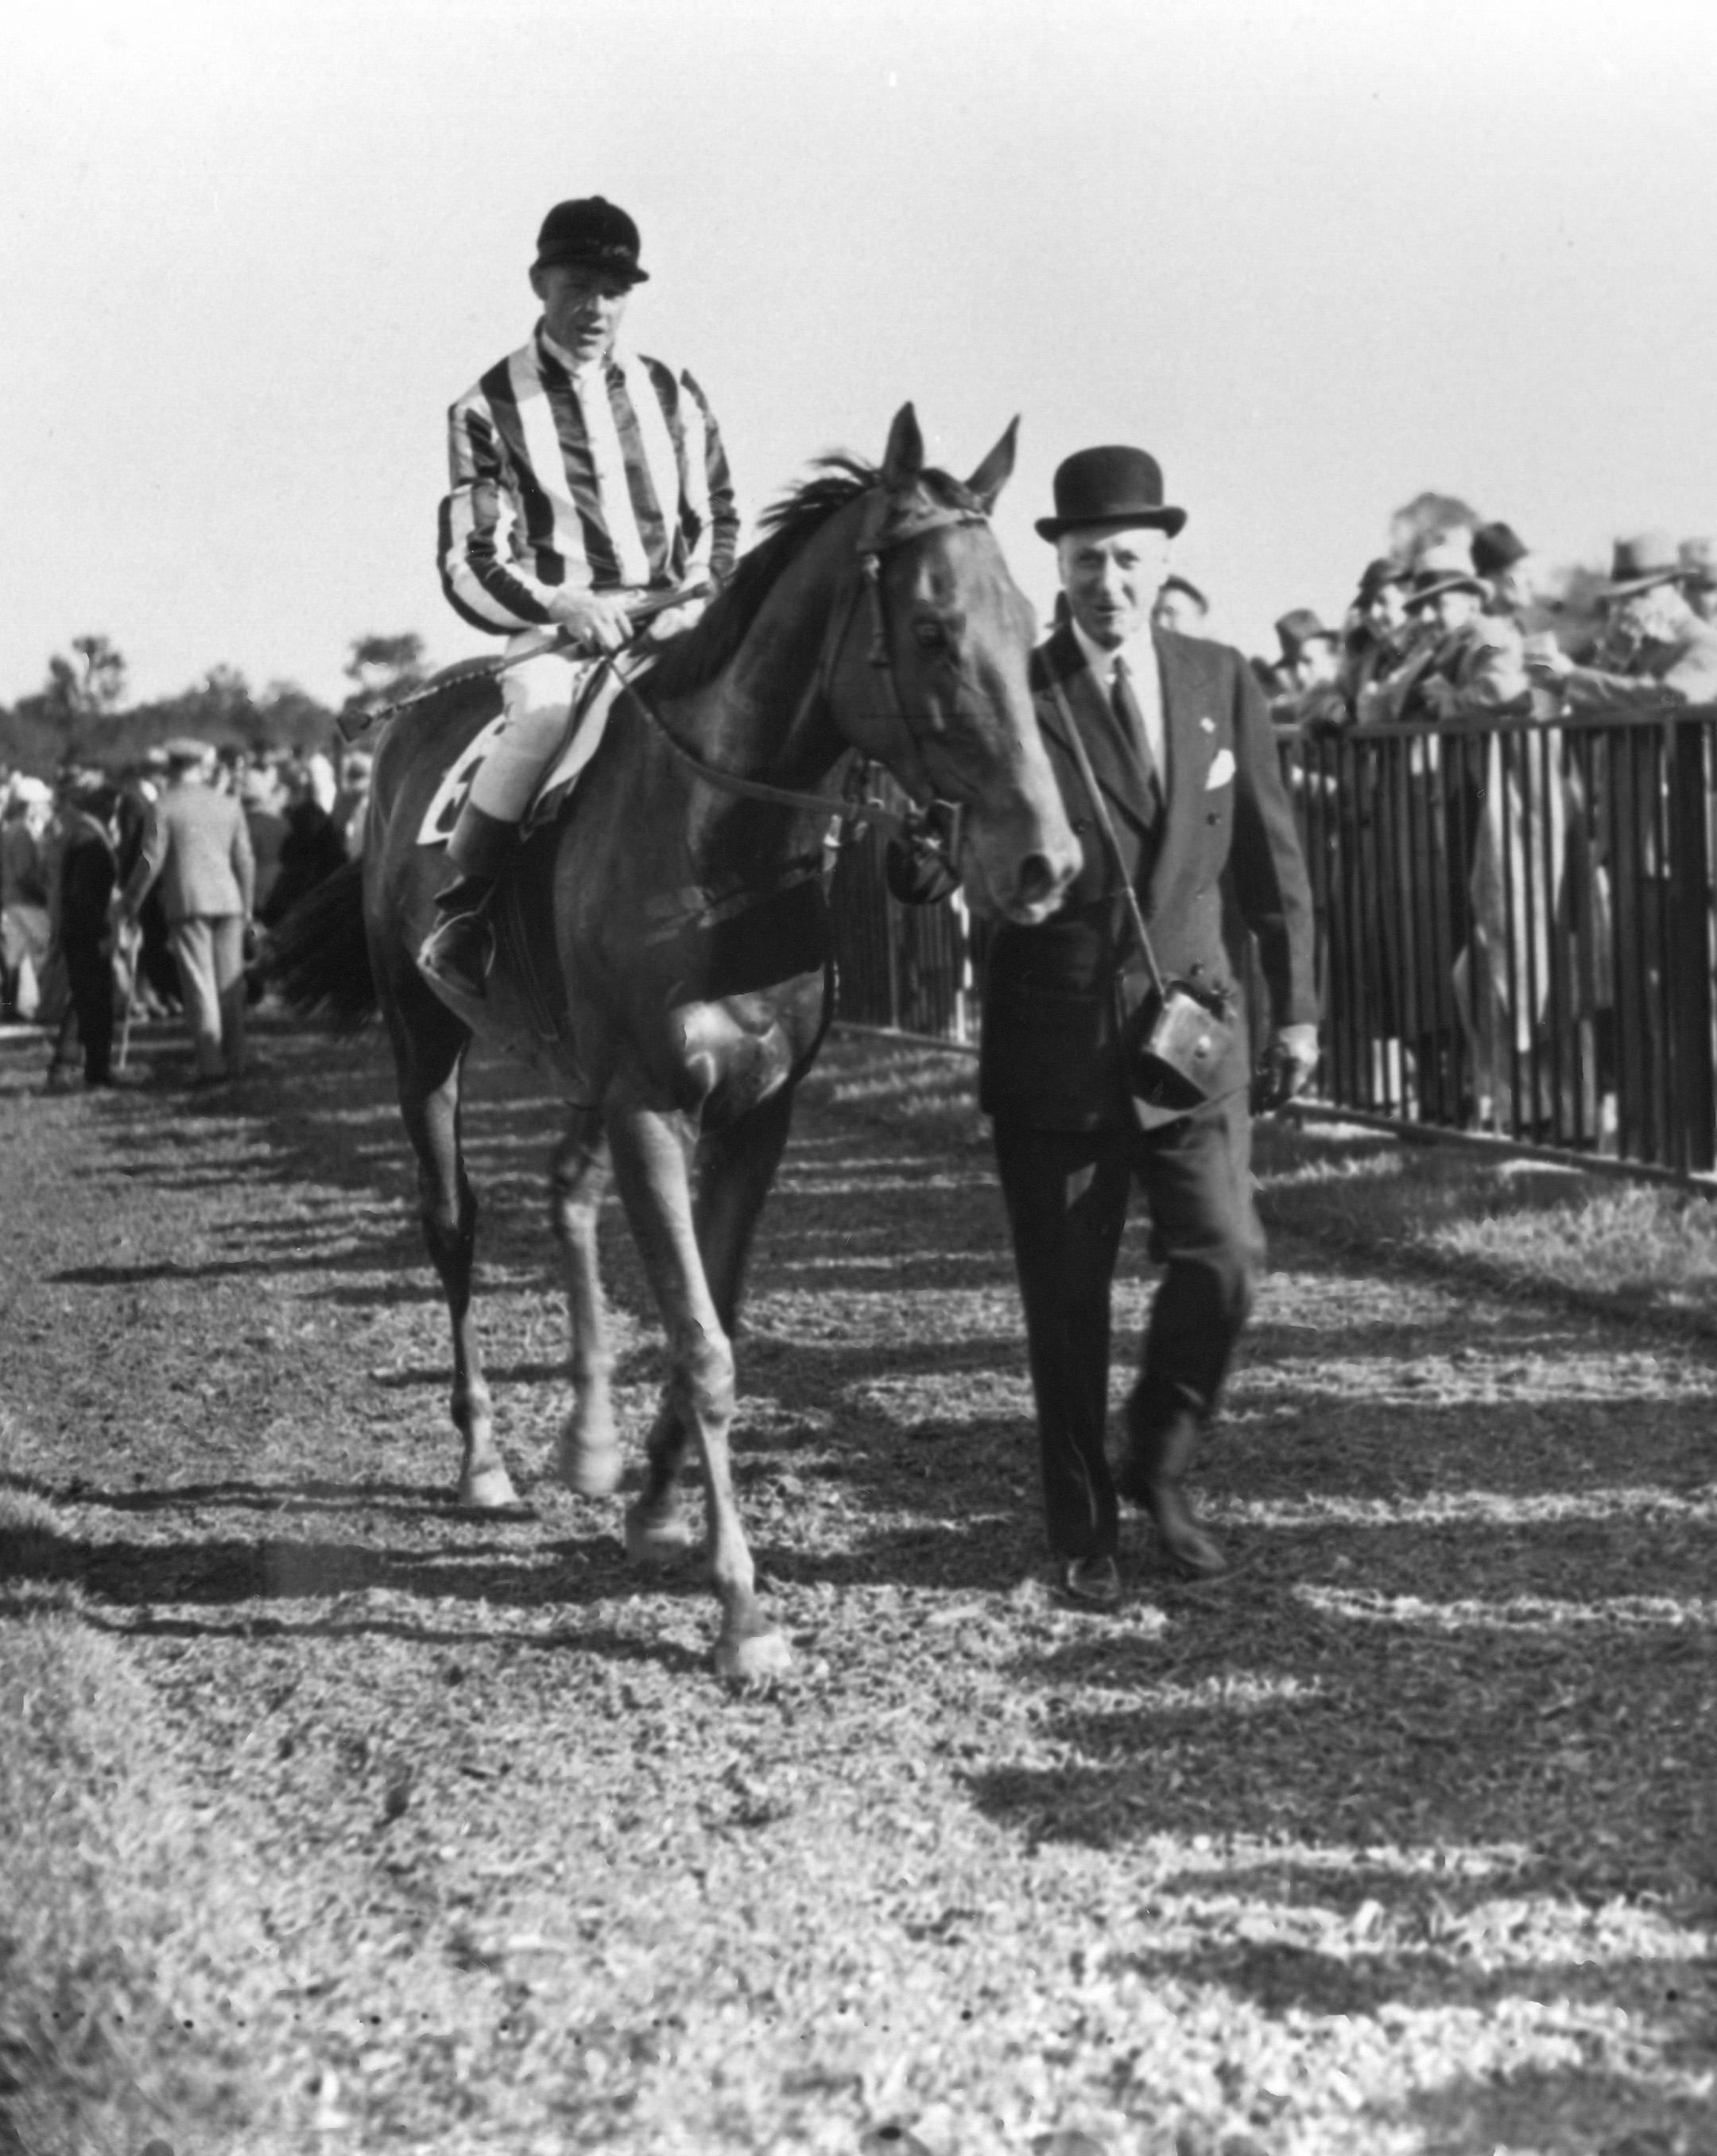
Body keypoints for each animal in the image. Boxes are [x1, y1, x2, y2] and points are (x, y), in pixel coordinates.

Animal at [268, 407, 1074, 1681]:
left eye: (1033, 623)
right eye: (933, 631)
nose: (1044, 862)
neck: (719, 844)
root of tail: (390, 744)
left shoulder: (757, 1108)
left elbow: (715, 1310)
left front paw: (653, 1505)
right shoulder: (651, 1100)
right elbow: (700, 1342)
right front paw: (740, 1606)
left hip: (577, 1069)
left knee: (566, 1192)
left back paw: (586, 1441)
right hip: (423, 1037)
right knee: (454, 1225)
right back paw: (484, 1457)